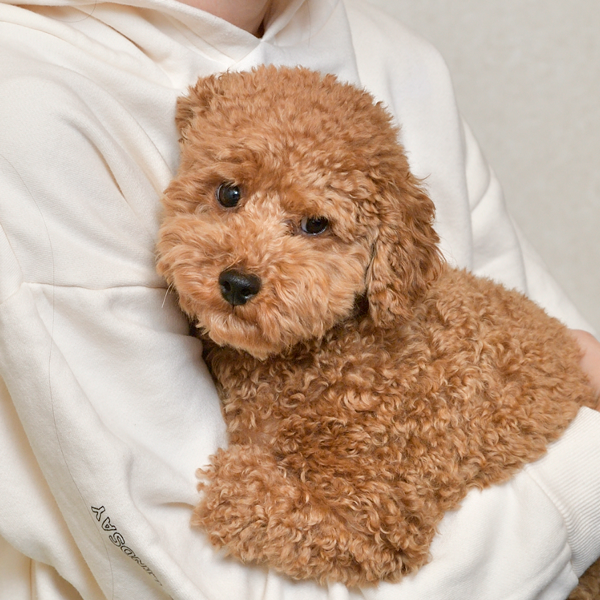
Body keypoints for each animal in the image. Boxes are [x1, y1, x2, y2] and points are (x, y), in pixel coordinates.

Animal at [155, 65, 596, 584]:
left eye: (316, 224)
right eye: (229, 193)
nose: (238, 282)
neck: (326, 352)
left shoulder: (376, 519)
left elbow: (248, 495)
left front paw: (236, 476)